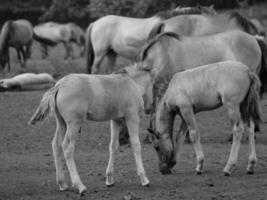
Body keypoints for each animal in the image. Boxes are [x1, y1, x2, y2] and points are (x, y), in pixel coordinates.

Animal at [28, 63, 160, 194]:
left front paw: (109, 179)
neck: (131, 84)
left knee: (56, 145)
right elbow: (136, 145)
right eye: (154, 84)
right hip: (74, 123)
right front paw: (144, 179)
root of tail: (59, 85)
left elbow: (113, 146)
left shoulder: (116, 120)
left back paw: (62, 184)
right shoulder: (132, 118)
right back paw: (80, 186)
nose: (149, 108)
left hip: (62, 123)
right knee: (67, 148)